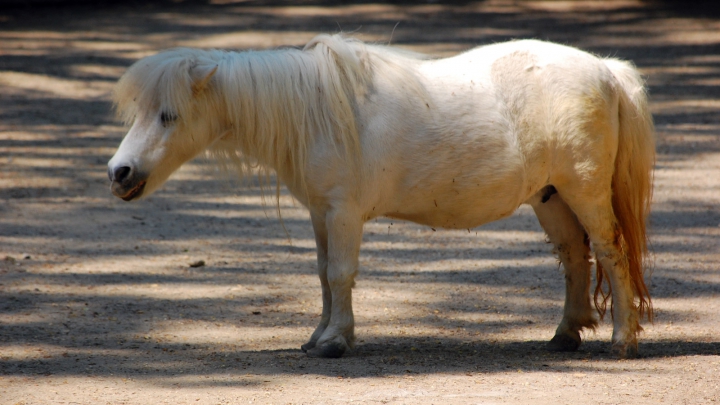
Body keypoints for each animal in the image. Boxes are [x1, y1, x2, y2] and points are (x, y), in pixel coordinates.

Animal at [108, 34, 660, 356]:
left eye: (169, 115)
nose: (119, 172)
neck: (315, 111)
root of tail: (607, 71)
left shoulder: (343, 213)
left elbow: (340, 274)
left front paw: (335, 341)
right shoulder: (321, 215)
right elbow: (323, 276)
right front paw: (320, 336)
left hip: (584, 191)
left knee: (610, 251)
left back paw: (622, 339)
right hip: (551, 197)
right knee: (574, 255)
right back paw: (565, 334)